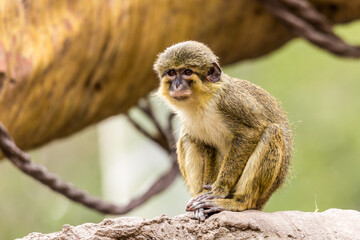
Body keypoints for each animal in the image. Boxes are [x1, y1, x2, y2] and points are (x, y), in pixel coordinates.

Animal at [153, 40, 292, 221]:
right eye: (171, 73)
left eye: (187, 72)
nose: (177, 85)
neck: (203, 100)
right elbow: (205, 145)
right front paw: (205, 194)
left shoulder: (229, 100)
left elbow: (251, 132)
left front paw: (218, 191)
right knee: (187, 137)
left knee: (272, 132)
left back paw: (240, 202)